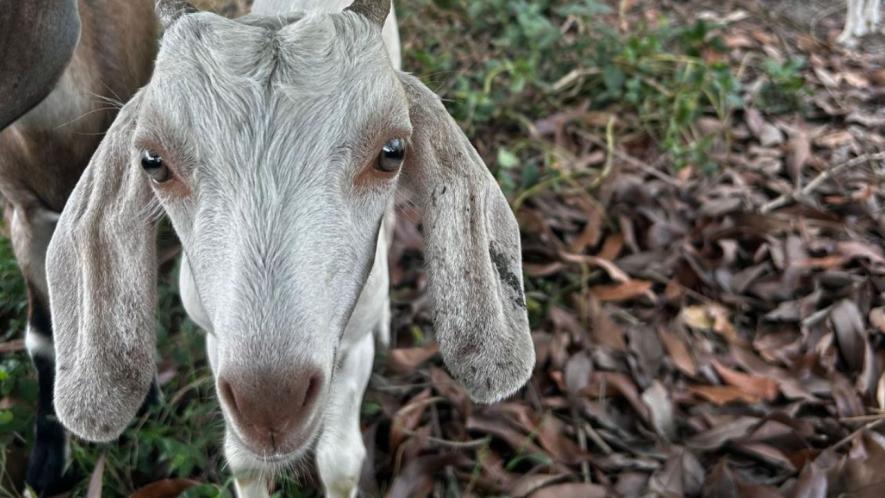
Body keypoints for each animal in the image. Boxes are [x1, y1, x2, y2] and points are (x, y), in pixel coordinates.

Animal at [44, 0, 535, 496]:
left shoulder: (352, 348)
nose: (270, 405)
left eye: (392, 151)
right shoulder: (216, 340)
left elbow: (341, 461)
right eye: (153, 162)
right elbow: (244, 461)